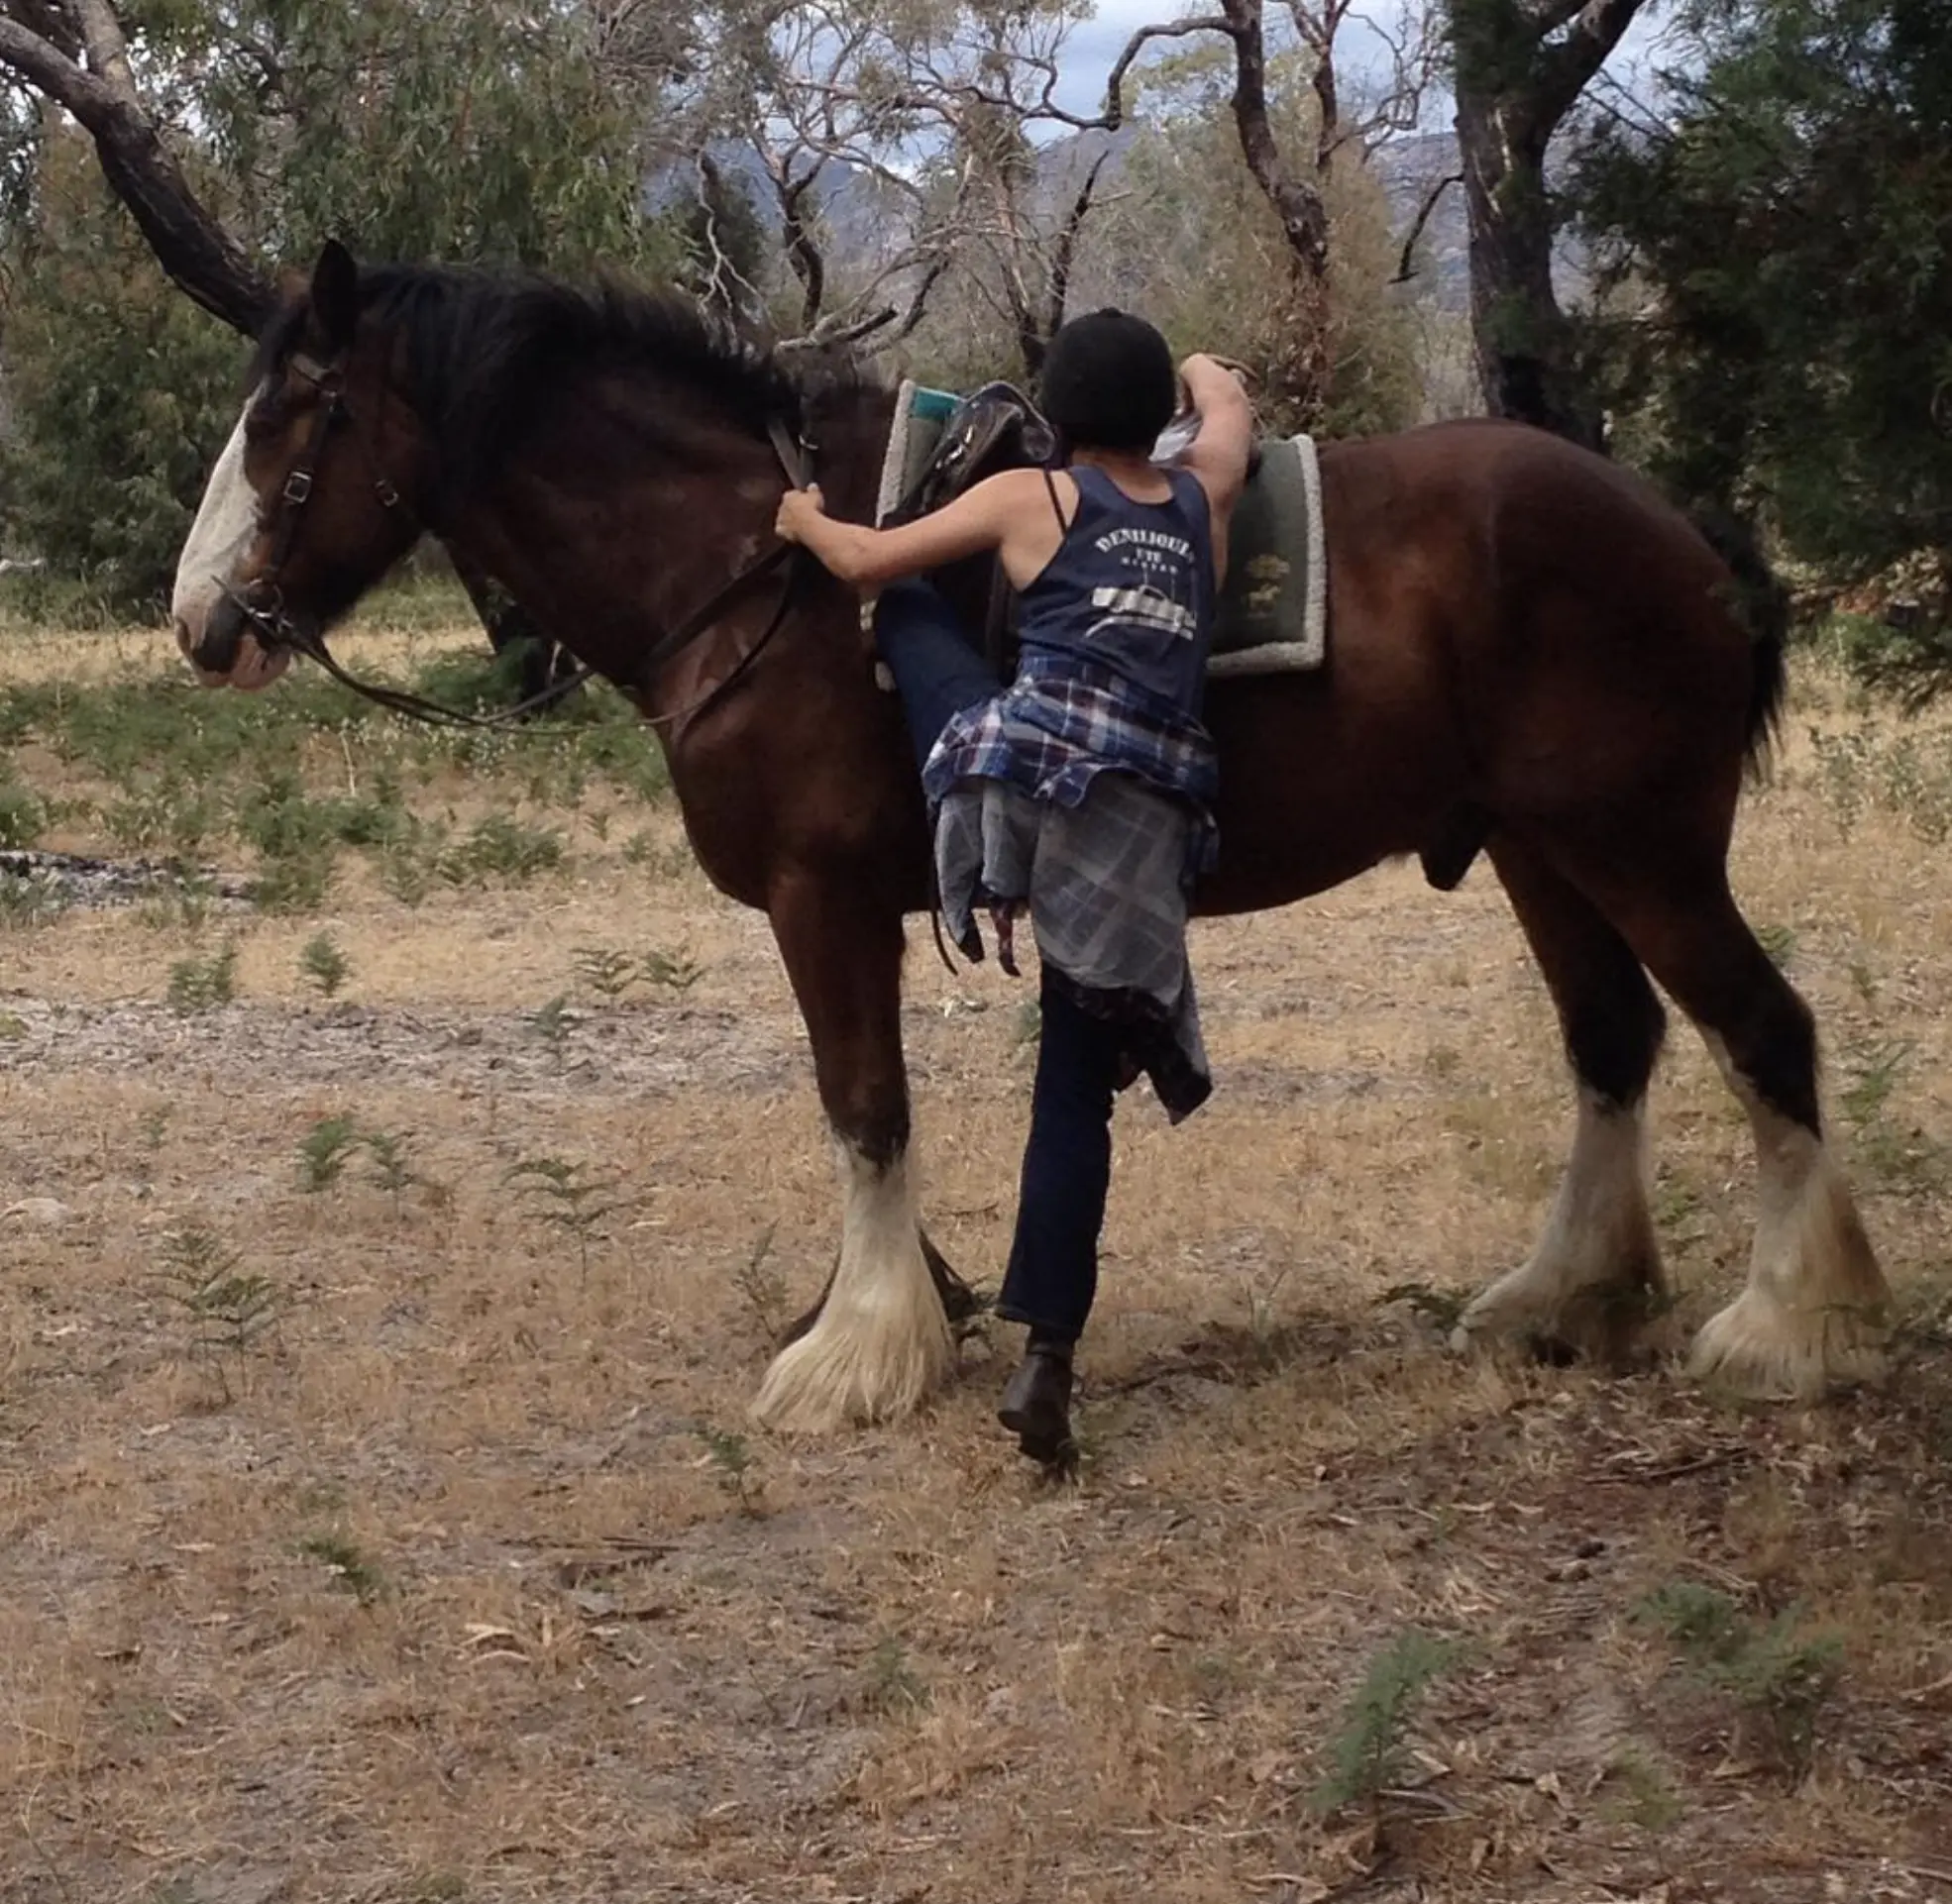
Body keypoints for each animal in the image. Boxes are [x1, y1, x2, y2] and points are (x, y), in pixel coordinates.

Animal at [171, 238, 1889, 1428]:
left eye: (296, 415)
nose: (202, 623)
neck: (761, 571)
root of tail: (1679, 530)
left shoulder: (820, 900)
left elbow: (863, 1107)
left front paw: (858, 1352)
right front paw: (897, 1313)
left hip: (1637, 844)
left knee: (1759, 1029)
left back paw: (1785, 1328)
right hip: (1545, 851)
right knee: (1612, 1041)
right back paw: (1559, 1296)